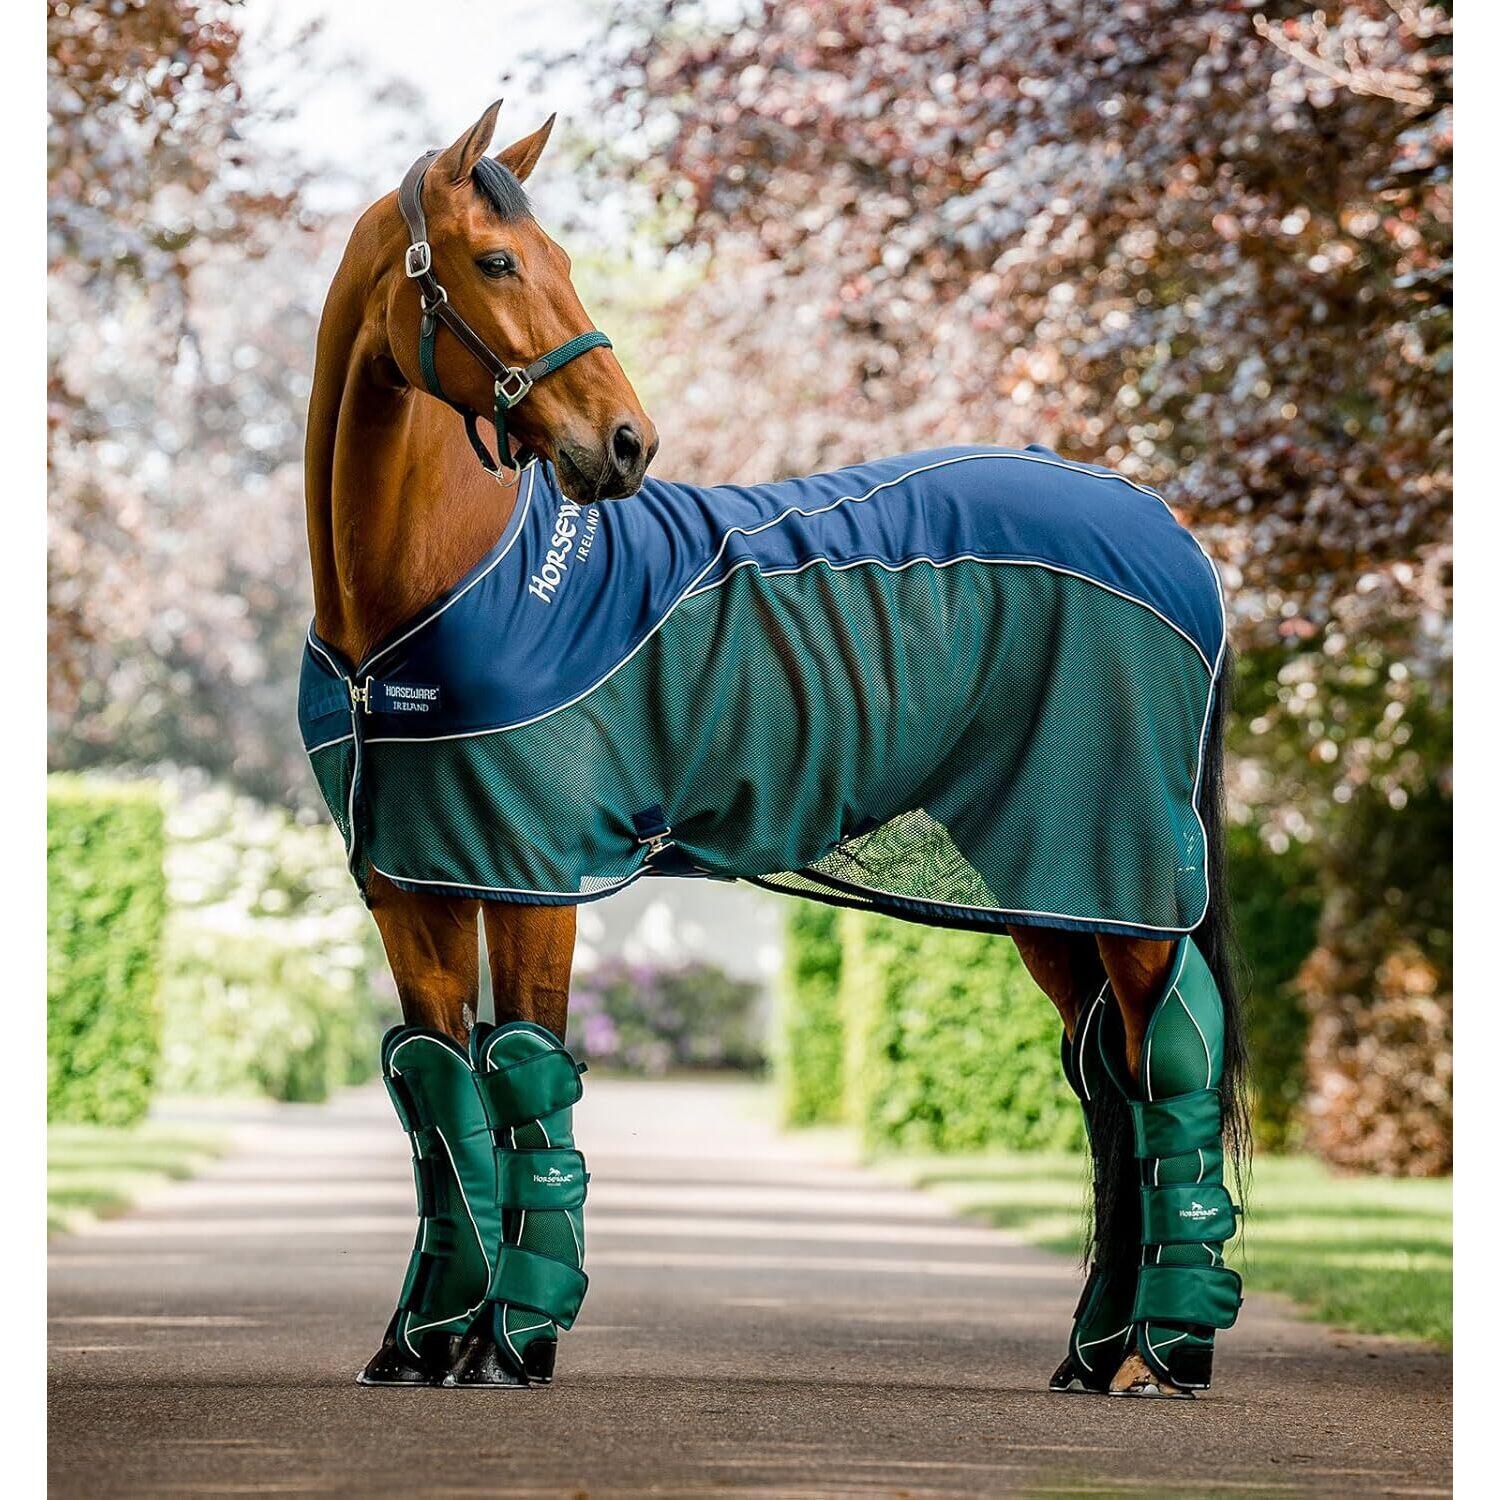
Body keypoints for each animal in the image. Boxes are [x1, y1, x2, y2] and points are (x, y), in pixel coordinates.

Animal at [302, 101, 1248, 1399]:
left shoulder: (534, 875)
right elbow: (440, 1093)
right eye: (496, 262)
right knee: (1109, 1088)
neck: (422, 602)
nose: (626, 444)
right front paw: (421, 1343)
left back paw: (1169, 1353)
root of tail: (1169, 532)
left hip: (1119, 868)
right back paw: (1093, 1355)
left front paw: (511, 1343)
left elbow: (528, 1076)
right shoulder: (414, 886)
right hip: (1051, 883)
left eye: (556, 259)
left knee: (1168, 1068)